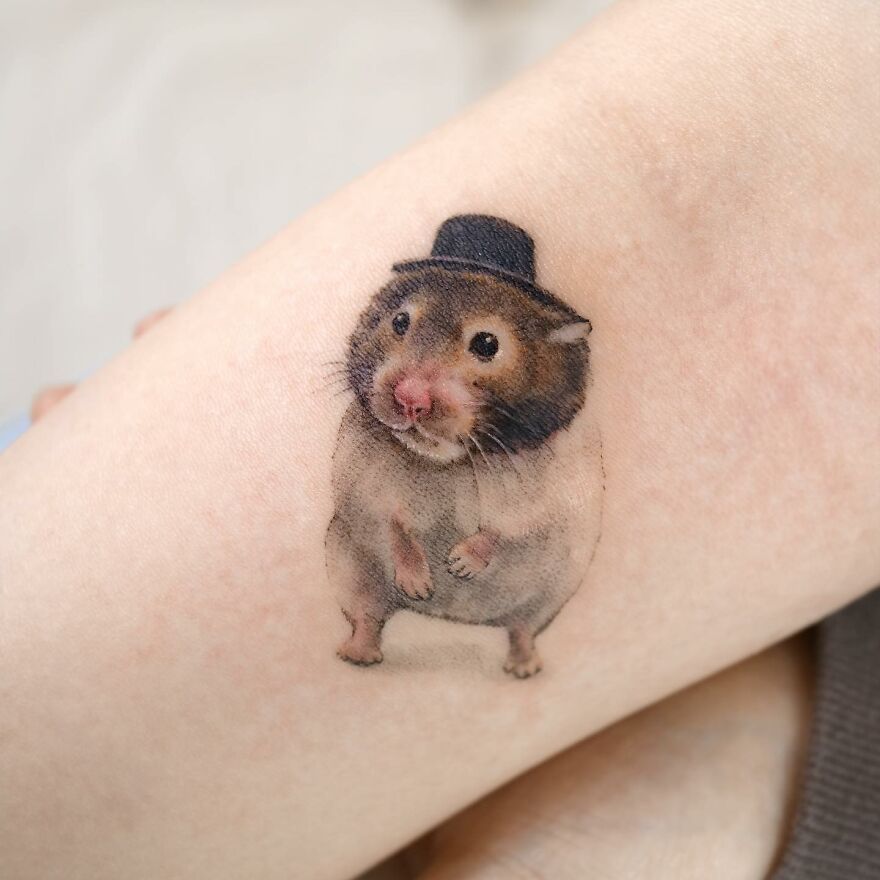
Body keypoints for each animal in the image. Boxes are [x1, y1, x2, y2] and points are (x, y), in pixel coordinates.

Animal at [325, 216, 603, 678]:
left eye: (487, 344)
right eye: (399, 321)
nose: (410, 399)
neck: (454, 461)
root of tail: (454, 617)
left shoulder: (553, 491)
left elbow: (505, 527)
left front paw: (459, 564)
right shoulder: (362, 474)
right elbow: (392, 523)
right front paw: (420, 582)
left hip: (551, 596)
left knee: (521, 628)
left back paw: (524, 666)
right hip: (349, 569)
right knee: (368, 617)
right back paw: (359, 653)